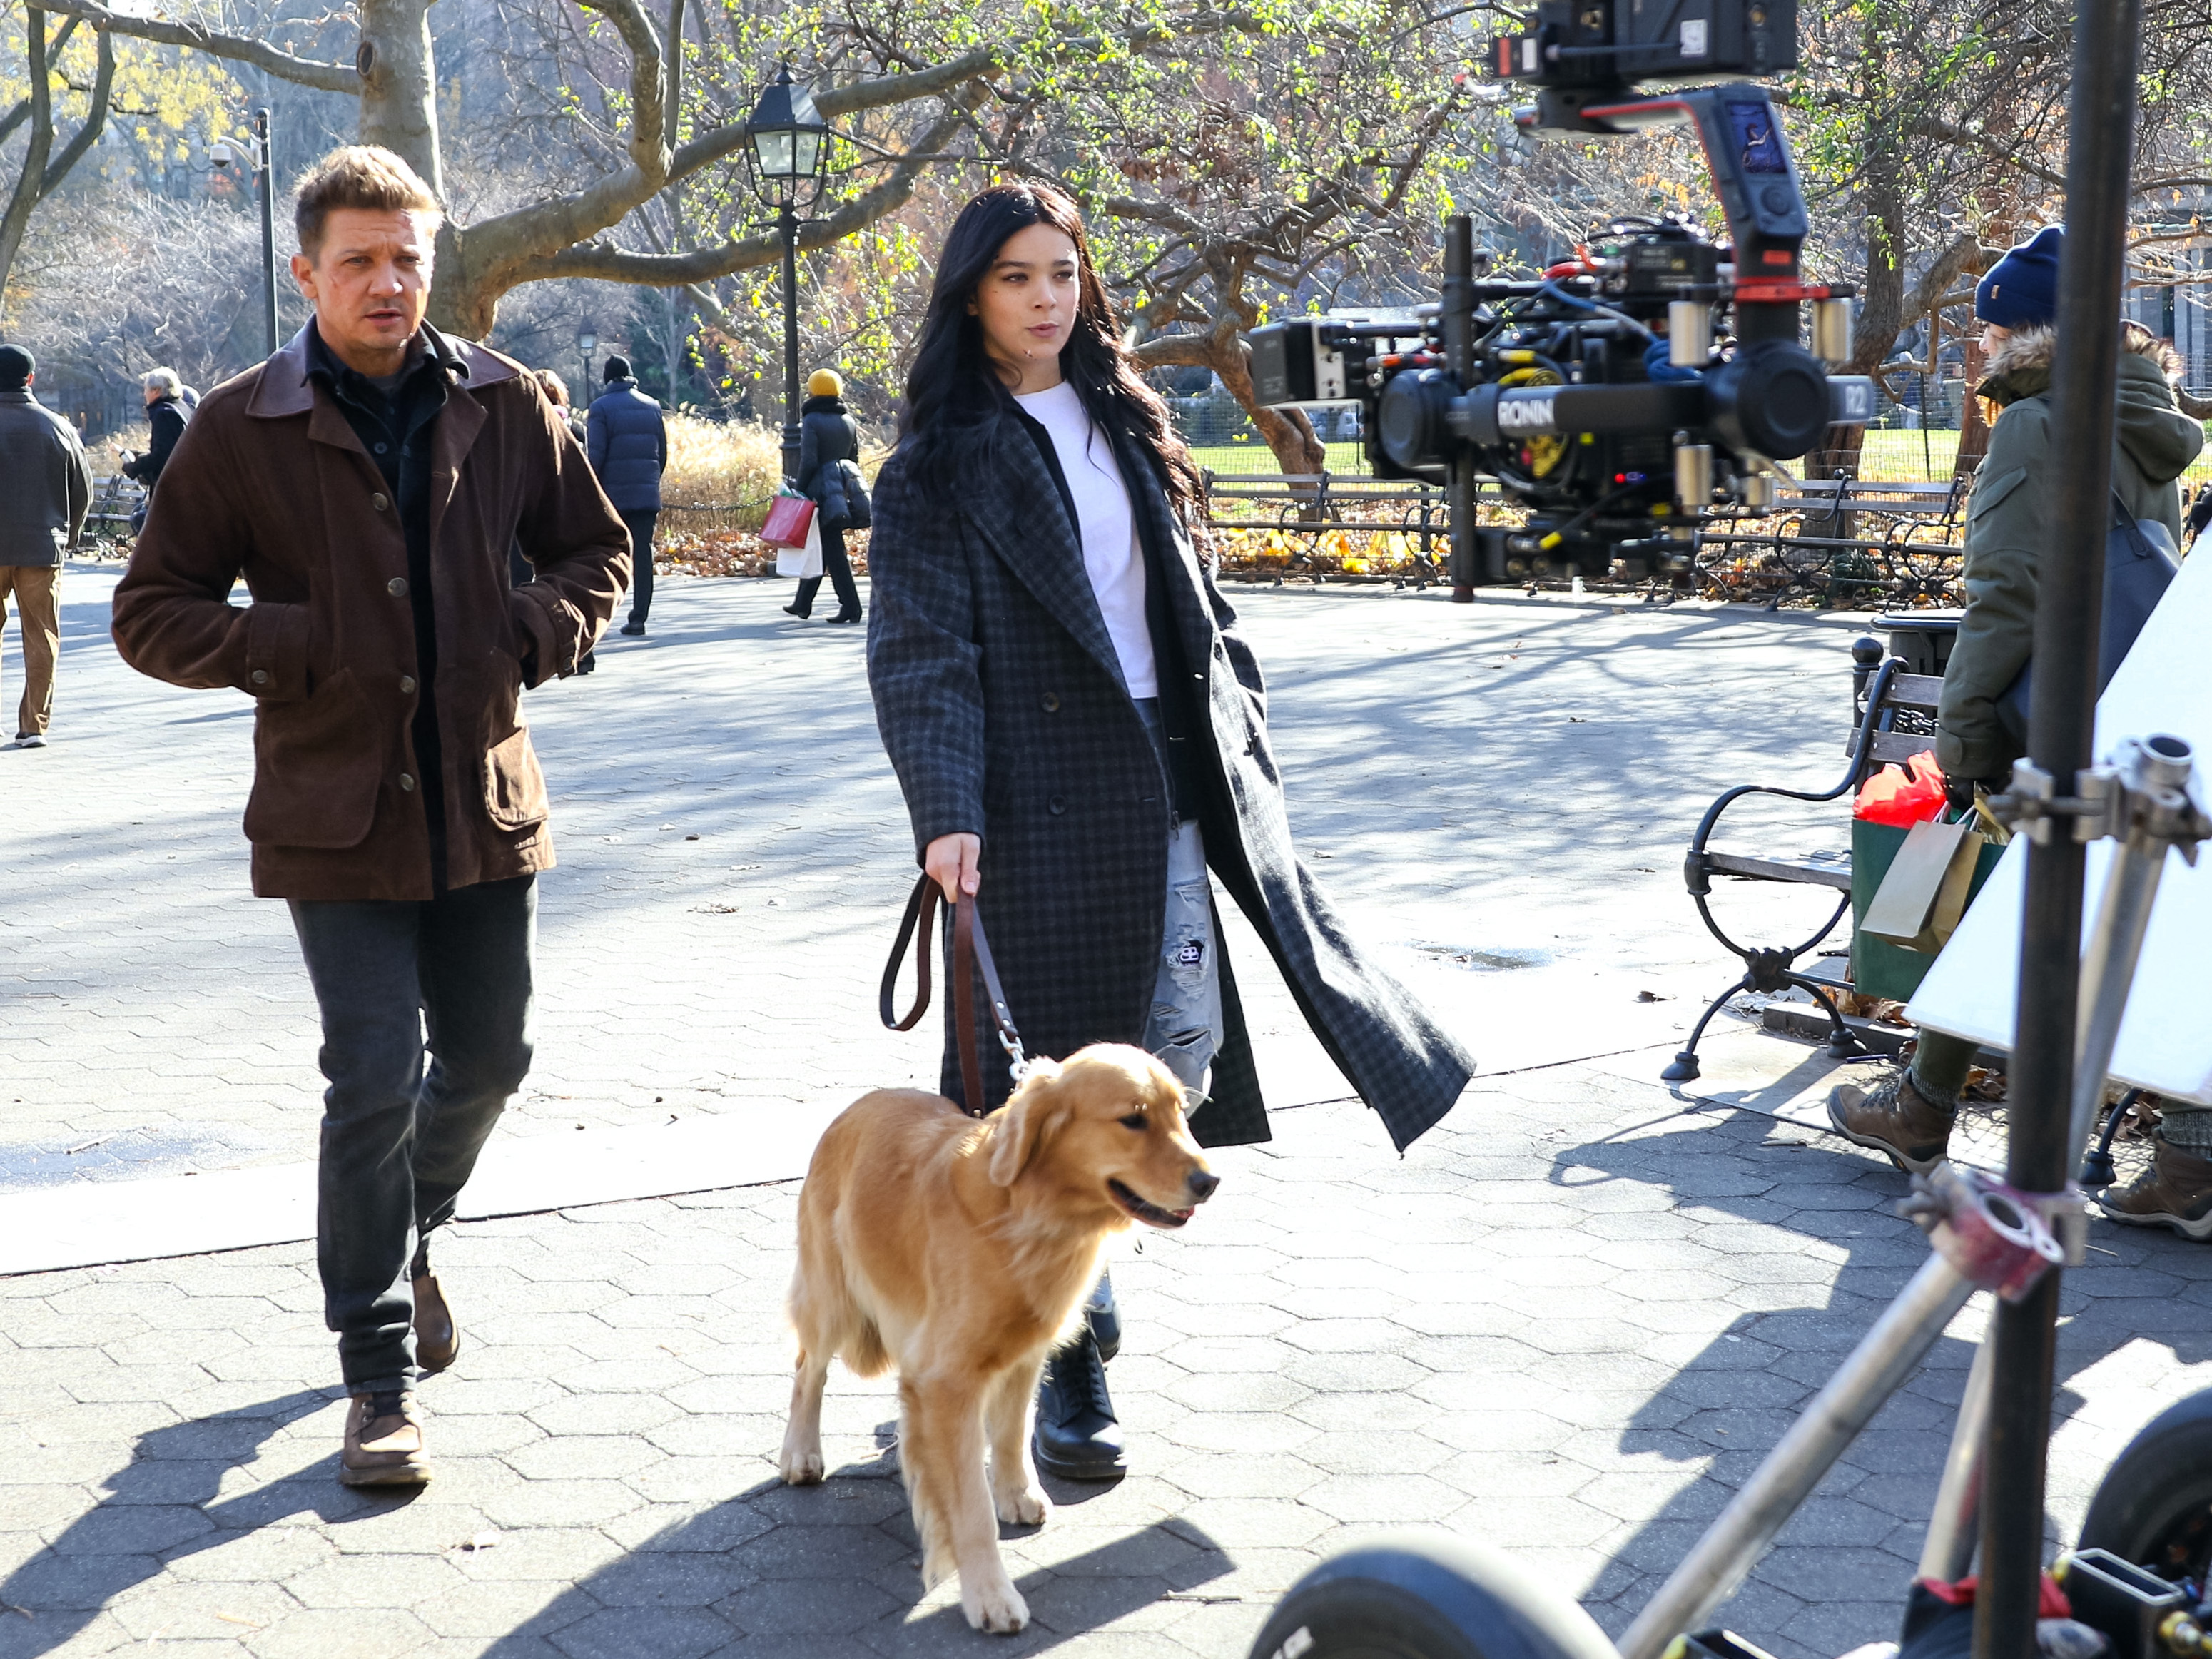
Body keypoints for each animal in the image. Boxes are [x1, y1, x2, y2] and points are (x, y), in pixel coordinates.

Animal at [778, 1052, 1221, 1637]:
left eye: (1180, 1110)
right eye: (1133, 1119)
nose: (1211, 1180)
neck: (1025, 1212)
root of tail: (858, 1104)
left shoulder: (1023, 1353)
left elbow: (1011, 1435)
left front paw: (1017, 1494)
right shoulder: (947, 1380)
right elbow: (969, 1507)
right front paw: (989, 1594)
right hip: (833, 1297)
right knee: (808, 1368)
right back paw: (801, 1452)